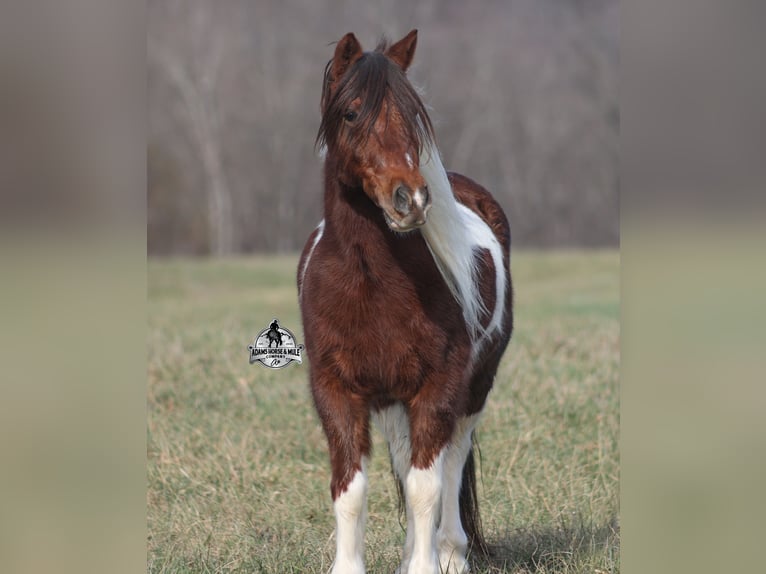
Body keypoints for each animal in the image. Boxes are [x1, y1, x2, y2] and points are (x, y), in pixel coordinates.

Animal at [297, 30, 513, 574]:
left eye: (414, 116)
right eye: (352, 113)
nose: (410, 200)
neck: (370, 285)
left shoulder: (436, 389)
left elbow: (425, 488)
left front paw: (427, 564)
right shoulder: (336, 390)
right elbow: (350, 490)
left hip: (472, 390)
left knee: (451, 461)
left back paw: (450, 554)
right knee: (406, 459)